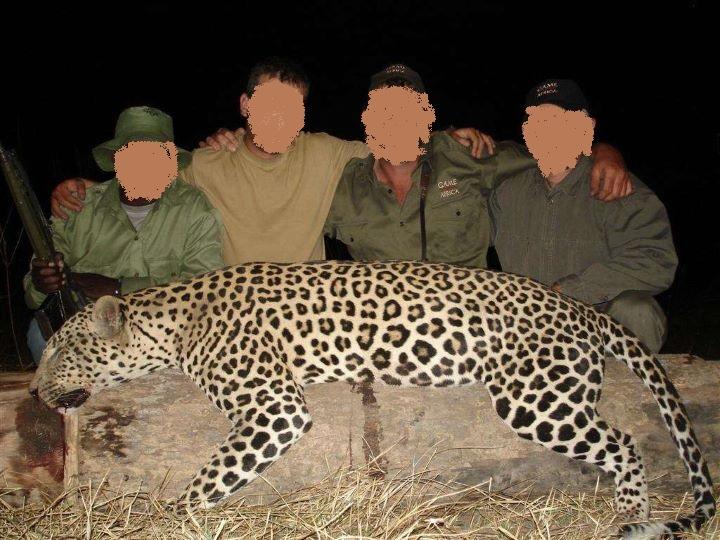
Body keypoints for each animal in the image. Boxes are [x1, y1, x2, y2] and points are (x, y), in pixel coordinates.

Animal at [30, 260, 715, 538]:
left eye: (58, 351)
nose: (33, 392)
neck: (174, 321)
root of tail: (584, 310)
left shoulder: (275, 406)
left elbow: (208, 478)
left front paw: (164, 520)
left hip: (535, 398)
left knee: (625, 441)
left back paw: (628, 514)